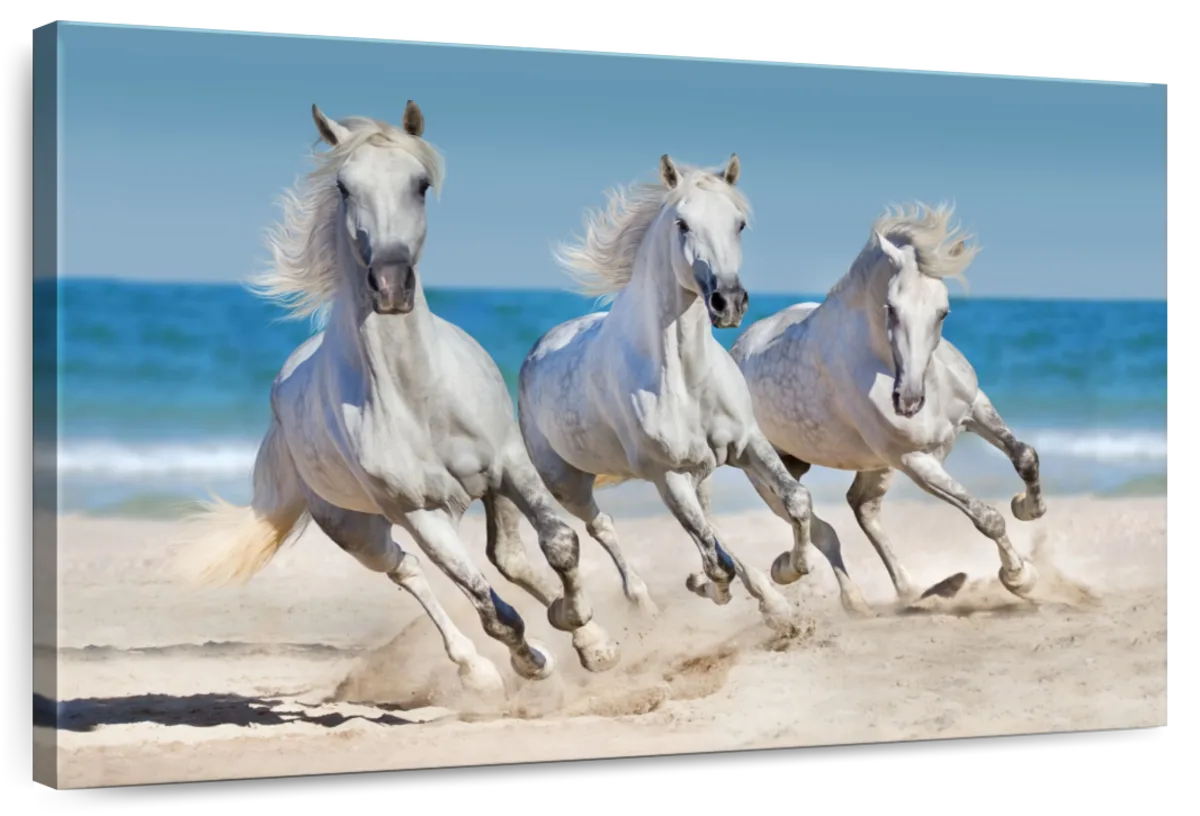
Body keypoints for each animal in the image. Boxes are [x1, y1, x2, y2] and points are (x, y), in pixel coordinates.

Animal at [173, 102, 620, 700]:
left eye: (421, 184)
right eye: (343, 187)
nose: (389, 286)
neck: (419, 398)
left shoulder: (509, 465)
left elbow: (559, 543)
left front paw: (591, 641)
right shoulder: (419, 513)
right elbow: (490, 609)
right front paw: (532, 662)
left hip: (484, 491)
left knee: (507, 558)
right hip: (358, 529)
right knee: (408, 571)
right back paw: (477, 670)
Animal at [517, 154, 872, 629]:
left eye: (739, 223)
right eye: (682, 224)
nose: (728, 302)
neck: (685, 377)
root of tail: (537, 350)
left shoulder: (747, 444)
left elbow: (795, 501)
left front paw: (785, 569)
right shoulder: (666, 474)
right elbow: (716, 560)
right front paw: (723, 586)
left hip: (698, 471)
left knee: (708, 525)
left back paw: (766, 600)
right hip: (568, 484)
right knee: (603, 526)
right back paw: (645, 603)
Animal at [711, 202, 1044, 612]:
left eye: (943, 312)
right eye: (892, 308)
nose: (909, 401)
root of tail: (736, 351)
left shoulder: (976, 409)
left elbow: (1025, 457)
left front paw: (1027, 507)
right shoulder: (914, 460)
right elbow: (987, 517)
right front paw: (1020, 577)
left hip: (865, 464)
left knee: (862, 508)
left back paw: (912, 589)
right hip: (767, 471)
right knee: (819, 528)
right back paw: (816, 584)